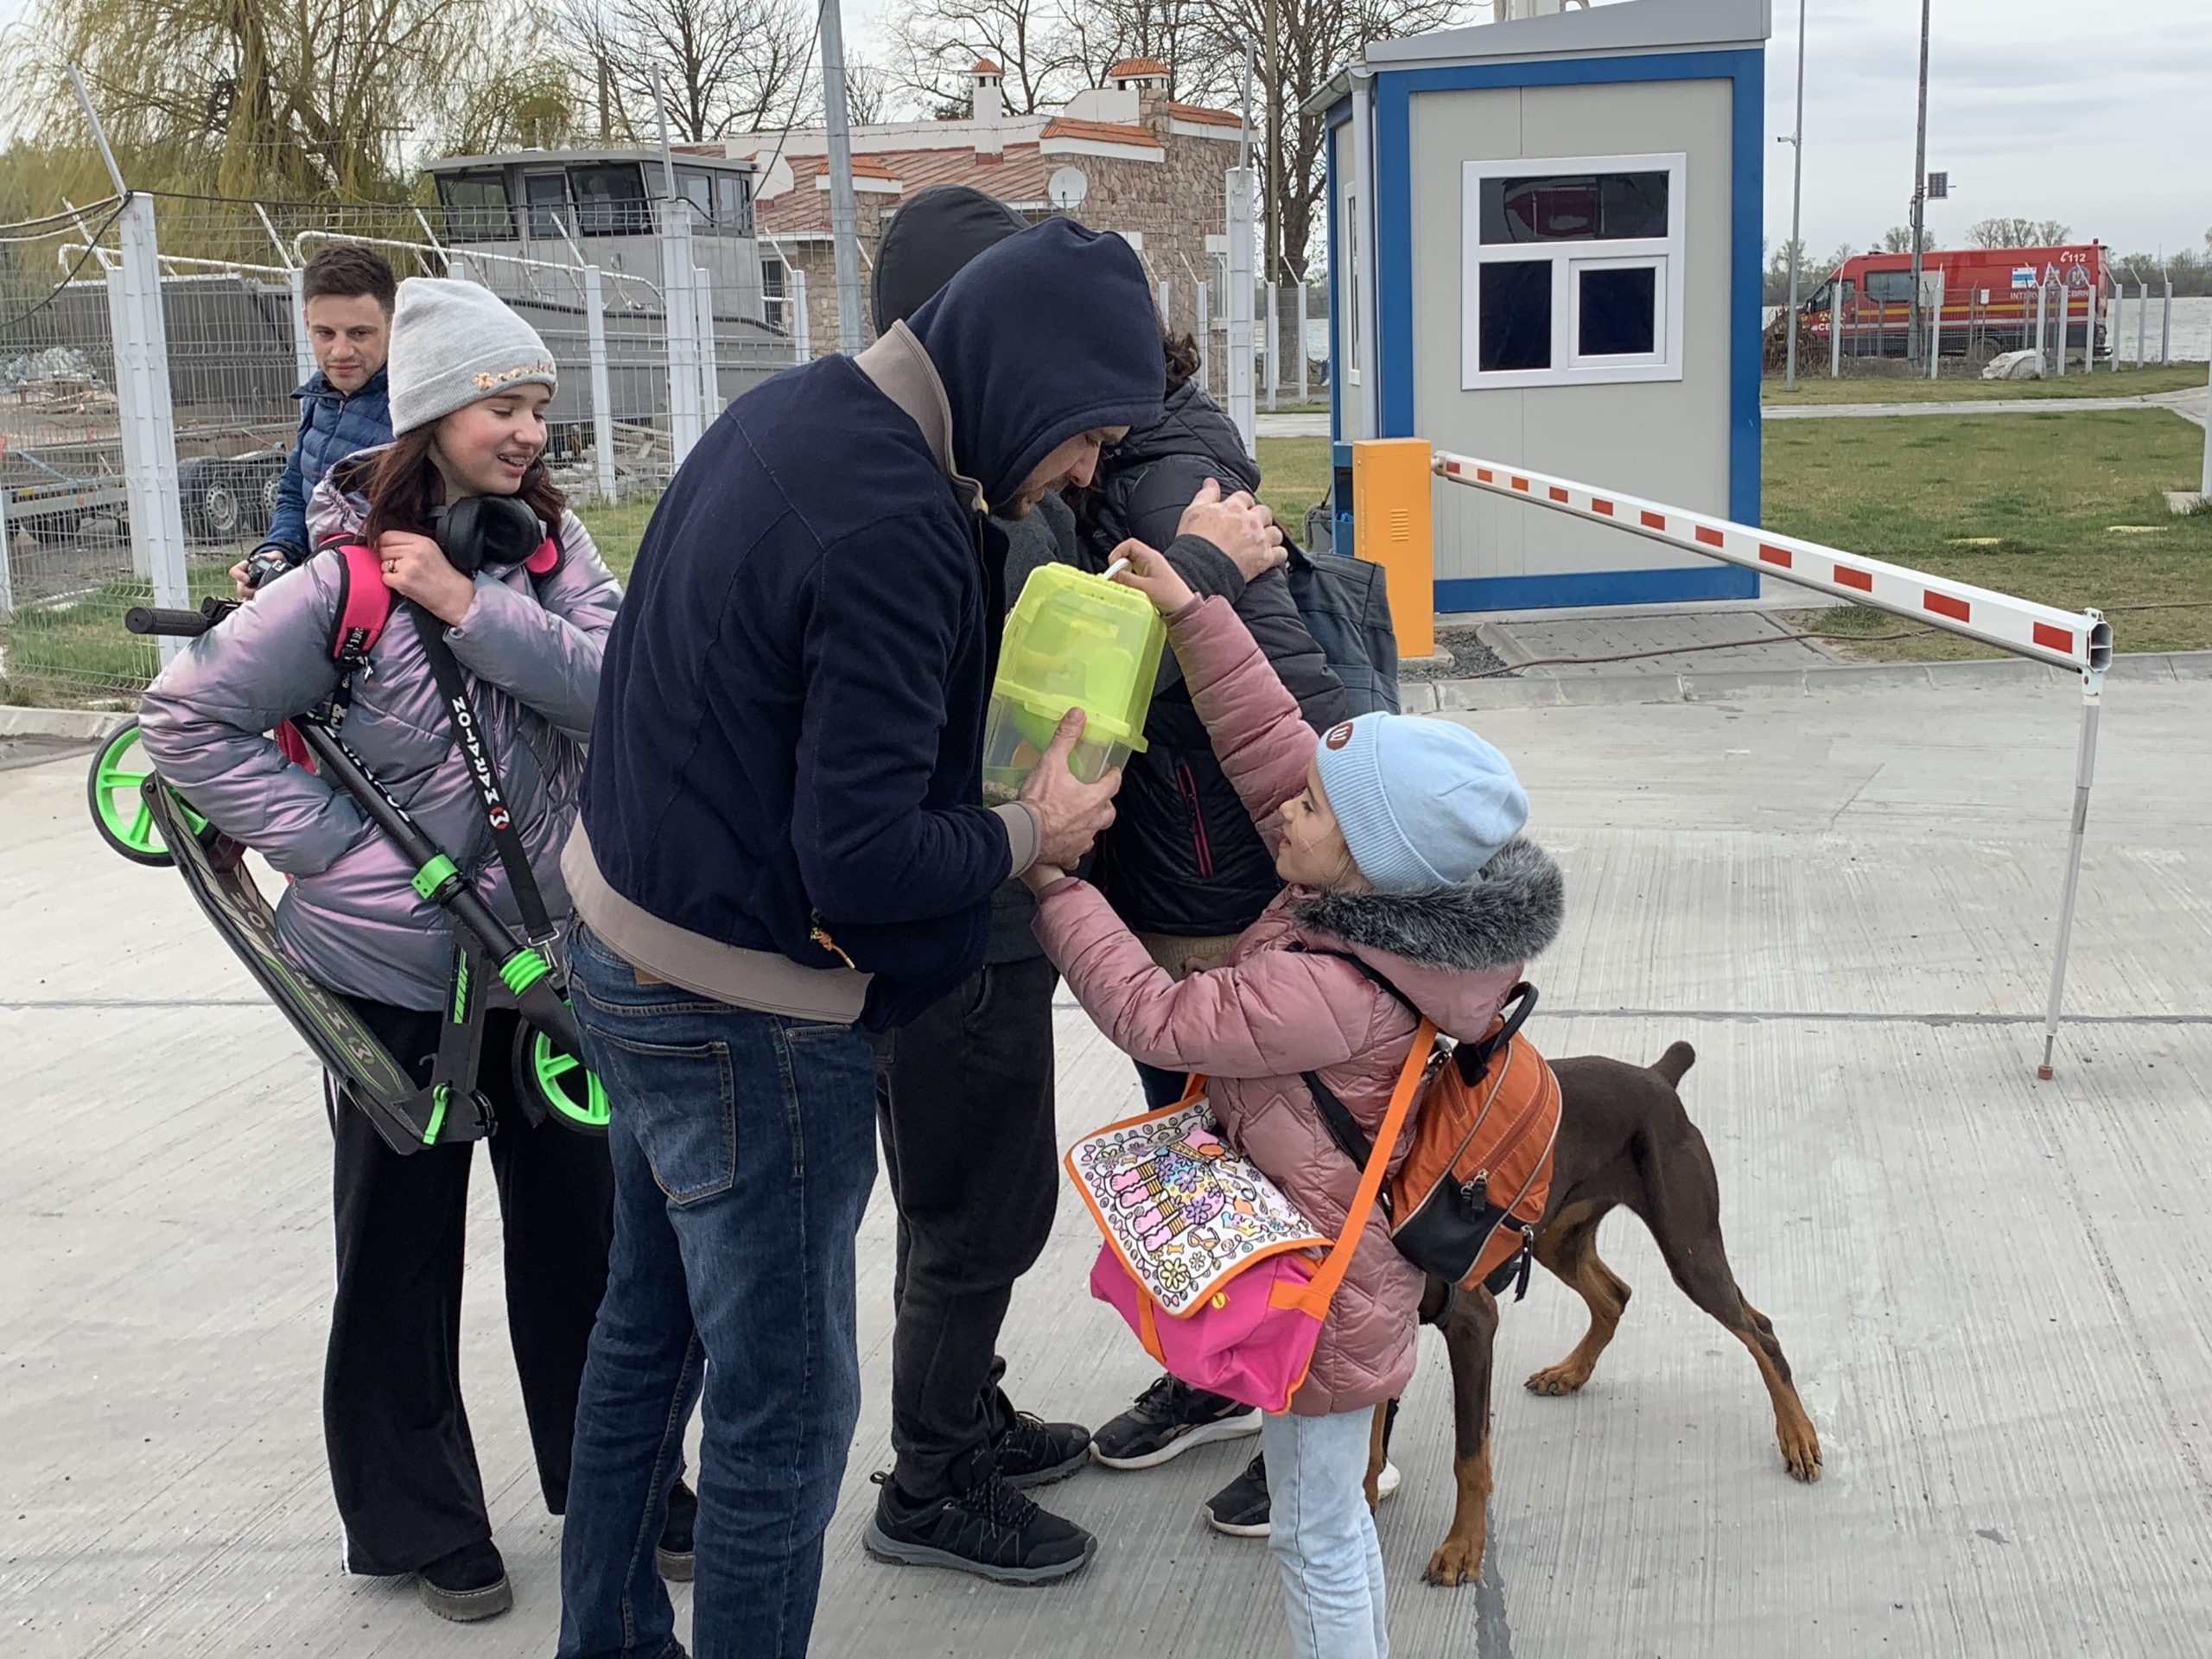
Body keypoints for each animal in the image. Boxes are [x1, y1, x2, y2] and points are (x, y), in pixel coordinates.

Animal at [1389, 1044, 1822, 1592]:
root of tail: (1657, 1077)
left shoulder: (1472, 1321)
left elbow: (1469, 1455)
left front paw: (1461, 1548)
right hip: (1556, 1236)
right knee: (1615, 1295)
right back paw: (1568, 1372)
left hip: (1689, 1245)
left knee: (1759, 1330)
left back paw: (1798, 1436)